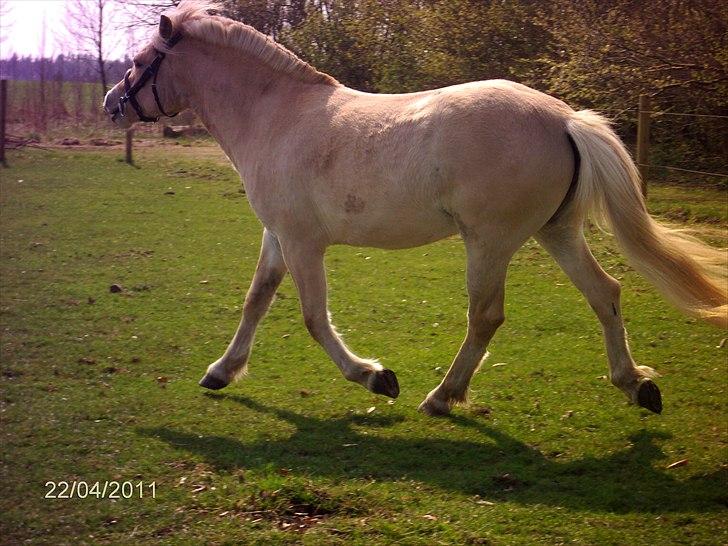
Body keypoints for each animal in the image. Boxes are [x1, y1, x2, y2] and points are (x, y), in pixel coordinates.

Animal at [104, 1, 728, 416]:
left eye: (141, 59)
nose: (112, 102)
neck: (277, 116)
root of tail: (563, 117)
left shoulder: (303, 242)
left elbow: (312, 317)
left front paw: (374, 376)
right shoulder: (278, 236)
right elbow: (256, 301)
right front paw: (220, 372)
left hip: (490, 242)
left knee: (487, 316)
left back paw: (443, 396)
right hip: (556, 232)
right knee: (605, 294)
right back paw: (635, 383)